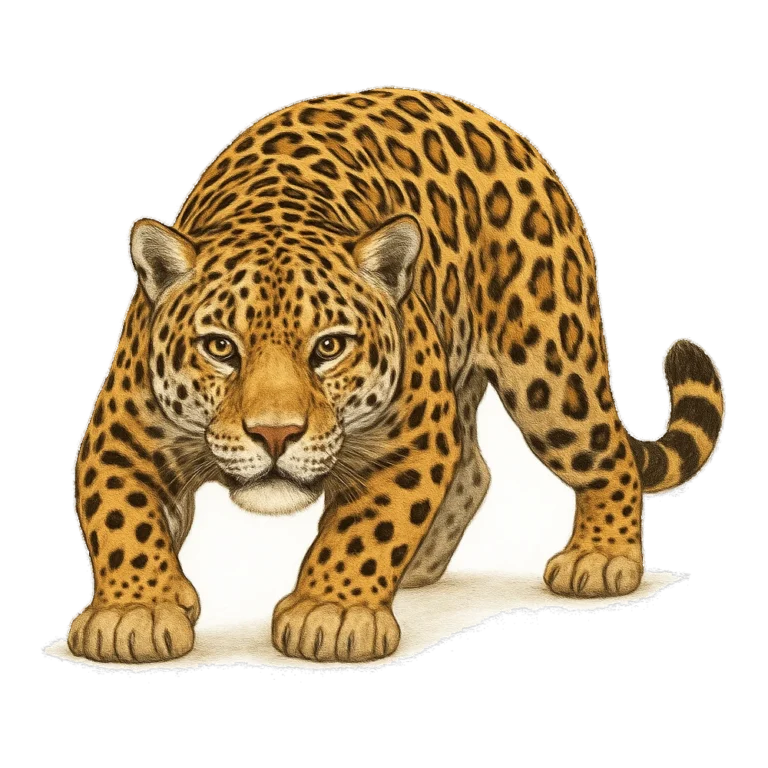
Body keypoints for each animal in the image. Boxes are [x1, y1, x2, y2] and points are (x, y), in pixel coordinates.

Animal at [68, 86, 725, 665]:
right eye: (221, 347)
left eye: (329, 347)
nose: (276, 435)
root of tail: (499, 127)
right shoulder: (118, 439)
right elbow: (123, 519)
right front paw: (134, 613)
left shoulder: (411, 437)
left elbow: (367, 528)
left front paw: (330, 613)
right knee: (472, 471)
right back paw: (416, 568)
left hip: (550, 369)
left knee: (601, 454)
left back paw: (600, 560)